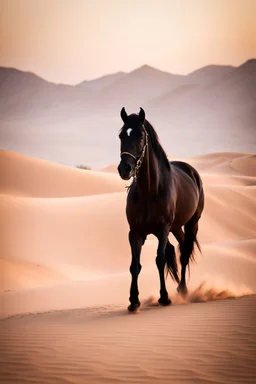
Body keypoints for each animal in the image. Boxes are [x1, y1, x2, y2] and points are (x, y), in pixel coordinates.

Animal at [117, 106, 204, 310]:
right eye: (121, 136)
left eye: (141, 136)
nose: (124, 169)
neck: (150, 191)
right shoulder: (135, 233)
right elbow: (135, 265)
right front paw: (134, 301)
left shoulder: (163, 229)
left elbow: (159, 259)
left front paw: (164, 297)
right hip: (176, 227)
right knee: (178, 248)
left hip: (191, 223)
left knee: (184, 252)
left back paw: (182, 289)